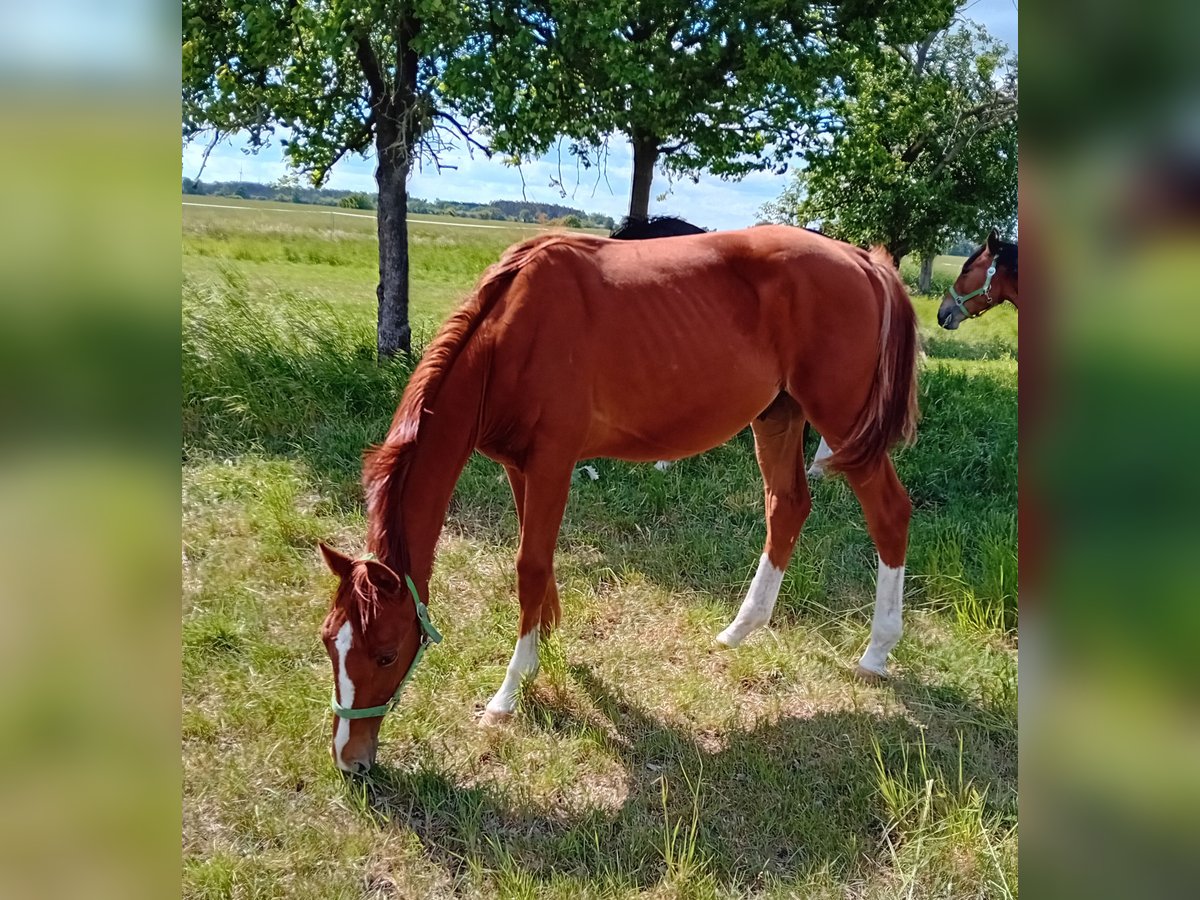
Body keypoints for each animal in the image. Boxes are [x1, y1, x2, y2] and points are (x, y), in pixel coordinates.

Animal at [318, 225, 919, 774]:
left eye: (387, 652)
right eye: (328, 642)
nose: (350, 760)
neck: (511, 337)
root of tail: (863, 261)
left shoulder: (553, 462)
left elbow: (529, 565)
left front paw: (509, 691)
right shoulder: (519, 466)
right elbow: (537, 559)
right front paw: (546, 642)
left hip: (841, 422)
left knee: (889, 514)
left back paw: (877, 651)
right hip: (778, 415)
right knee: (786, 505)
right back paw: (740, 630)